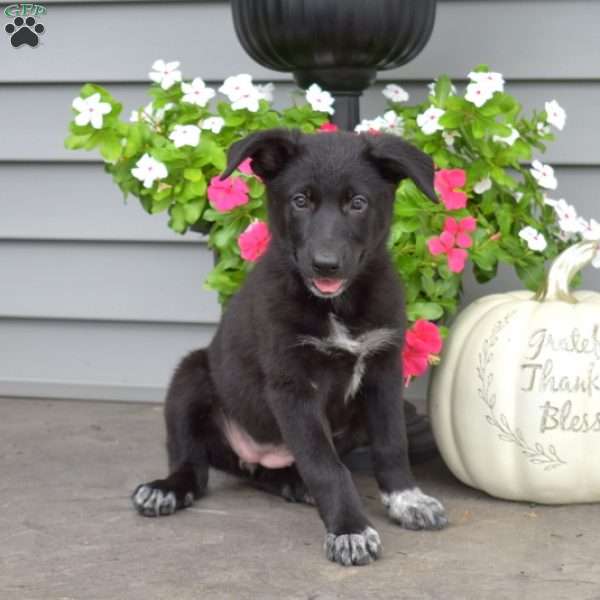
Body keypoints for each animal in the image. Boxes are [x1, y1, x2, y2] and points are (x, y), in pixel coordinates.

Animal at [134, 129, 448, 564]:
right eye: (300, 201)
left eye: (358, 203)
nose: (325, 264)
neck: (337, 305)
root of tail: (251, 456)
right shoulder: (292, 385)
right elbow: (326, 466)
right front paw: (350, 530)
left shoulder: (383, 370)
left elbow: (391, 444)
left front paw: (407, 499)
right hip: (190, 377)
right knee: (192, 464)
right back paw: (167, 488)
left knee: (269, 473)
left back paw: (291, 484)